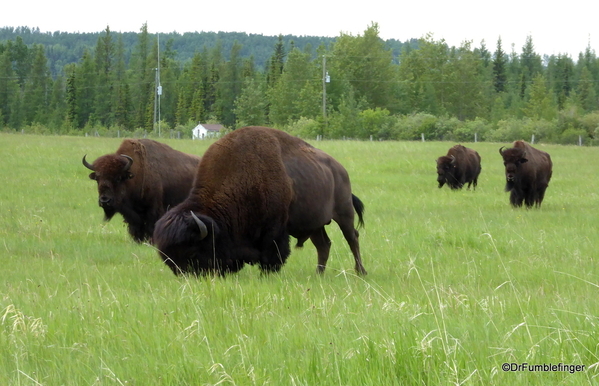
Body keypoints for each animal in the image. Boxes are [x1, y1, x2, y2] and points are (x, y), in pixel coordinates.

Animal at [152, 128, 368, 276]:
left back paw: (360, 271)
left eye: (191, 252)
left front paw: (267, 272)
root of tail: (340, 169)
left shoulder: (274, 229)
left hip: (344, 214)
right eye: (167, 257)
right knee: (324, 245)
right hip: (315, 224)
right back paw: (318, 274)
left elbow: (274, 252)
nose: (185, 275)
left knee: (353, 238)